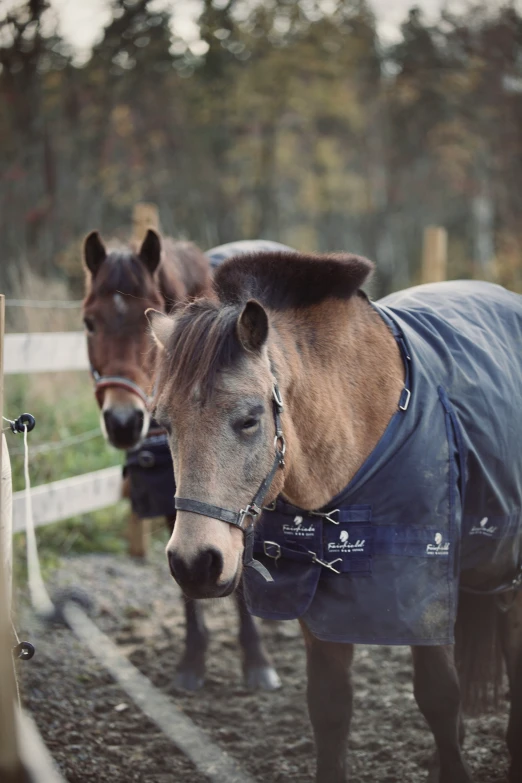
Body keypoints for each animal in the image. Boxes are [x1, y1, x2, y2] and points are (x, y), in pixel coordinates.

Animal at [147, 251, 520, 783]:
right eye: (164, 424)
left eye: (249, 419)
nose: (195, 563)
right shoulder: (316, 608)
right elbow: (329, 708)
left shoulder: (423, 595)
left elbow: (439, 698)